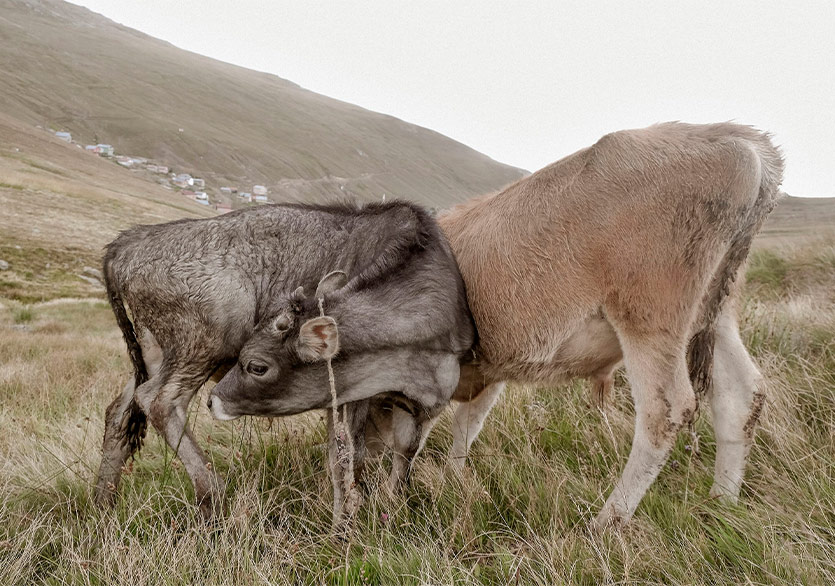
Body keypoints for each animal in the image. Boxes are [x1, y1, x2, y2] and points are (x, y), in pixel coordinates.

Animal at [95, 198, 474, 516]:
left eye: (257, 366)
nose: (216, 400)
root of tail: (128, 243)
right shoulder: (346, 396)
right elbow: (347, 457)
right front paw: (344, 530)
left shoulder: (424, 405)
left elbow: (404, 456)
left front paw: (391, 511)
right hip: (204, 339)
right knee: (158, 401)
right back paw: (213, 495)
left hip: (154, 353)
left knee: (121, 411)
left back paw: (104, 505)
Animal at [434, 122, 780, 524]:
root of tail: (732, 136)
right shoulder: (490, 367)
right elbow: (466, 423)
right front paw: (452, 479)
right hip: (715, 313)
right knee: (743, 397)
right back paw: (721, 503)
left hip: (650, 316)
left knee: (665, 411)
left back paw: (606, 523)